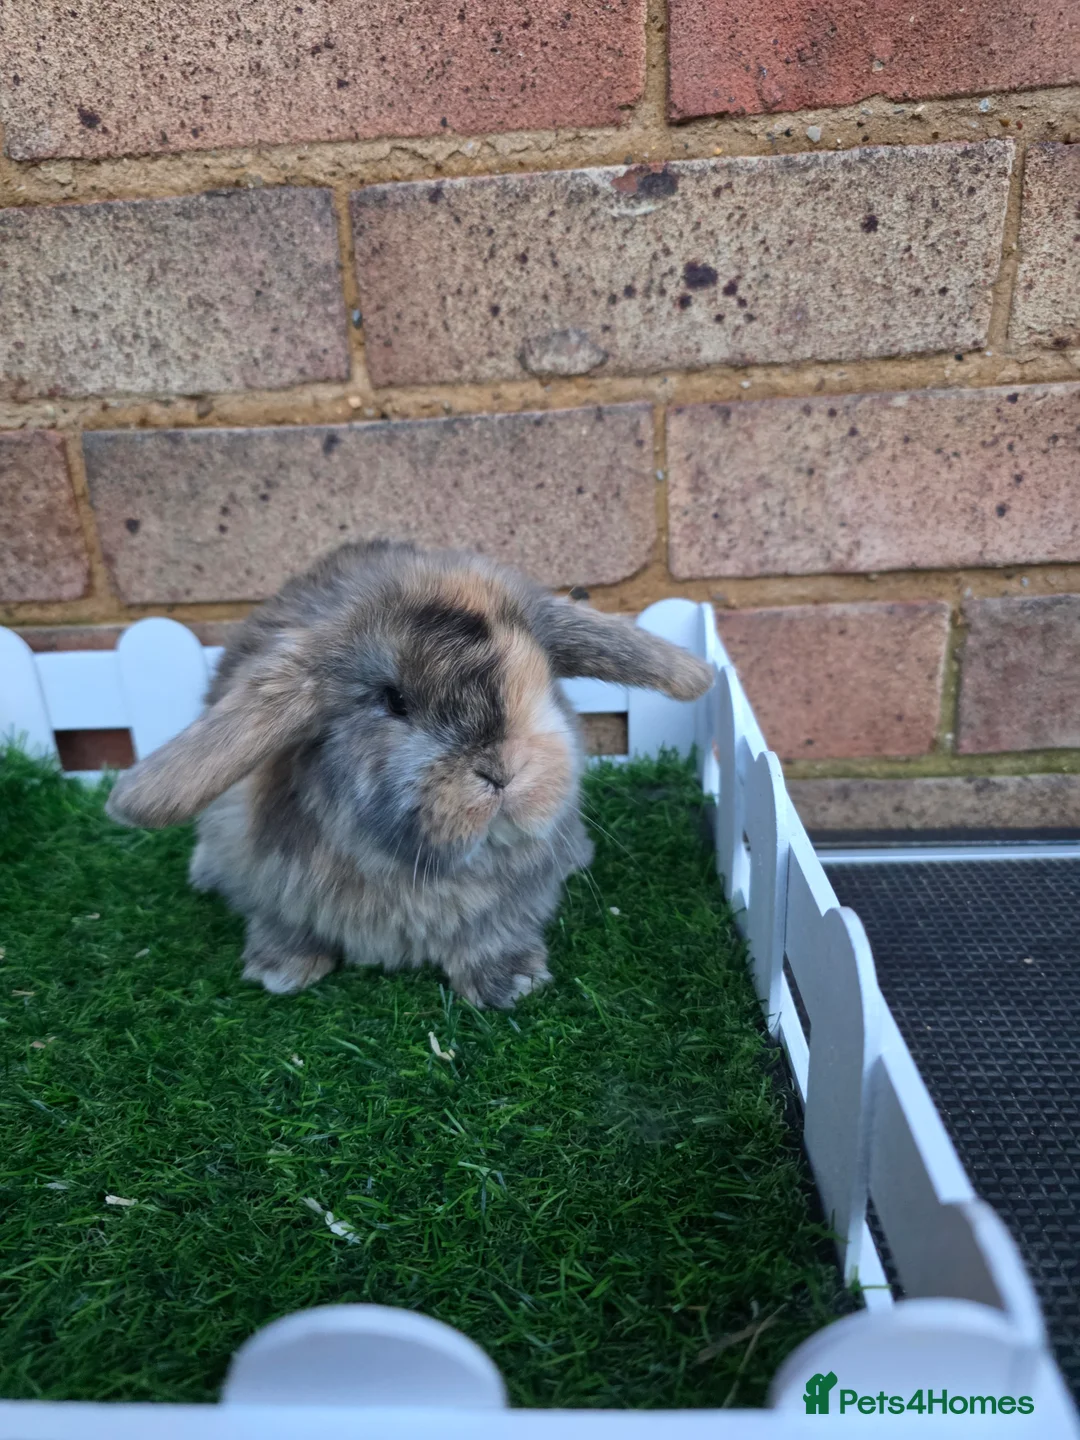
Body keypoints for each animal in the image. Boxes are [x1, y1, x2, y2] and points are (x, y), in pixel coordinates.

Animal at [105, 539, 713, 1008]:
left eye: (541, 680)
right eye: (393, 700)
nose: (503, 771)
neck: (419, 868)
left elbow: (492, 932)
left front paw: (511, 983)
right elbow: (282, 921)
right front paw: (283, 970)